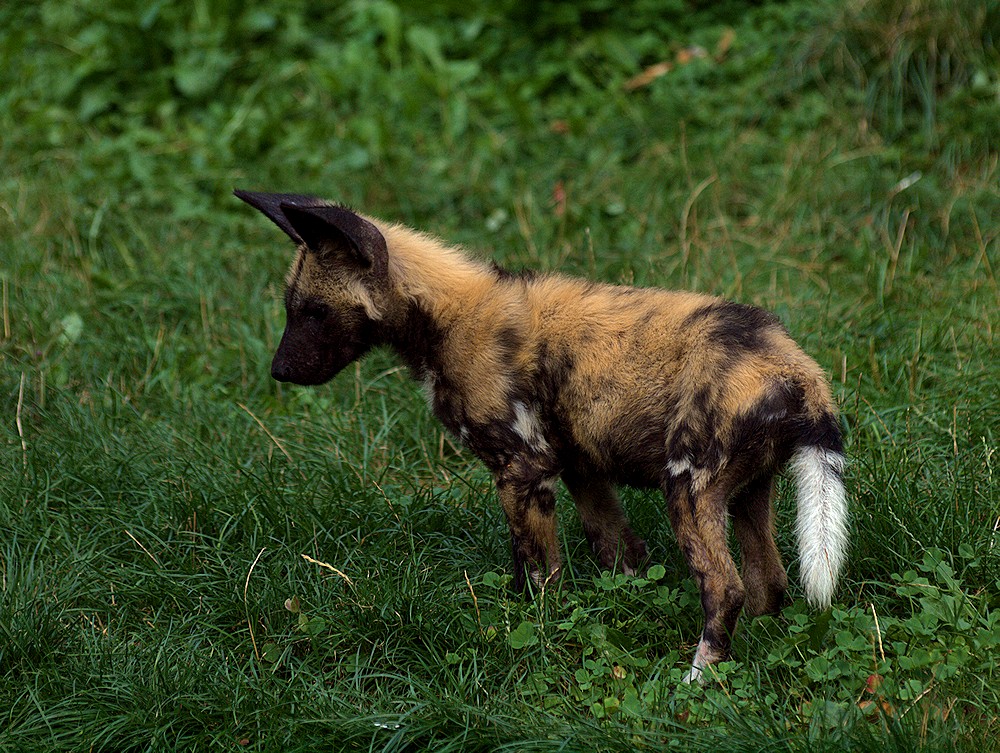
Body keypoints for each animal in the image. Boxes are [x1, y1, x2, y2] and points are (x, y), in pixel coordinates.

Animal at [236, 188, 852, 680]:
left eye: (314, 311)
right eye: (291, 308)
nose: (278, 372)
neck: (443, 318)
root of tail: (797, 369)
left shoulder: (522, 469)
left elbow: (537, 573)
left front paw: (535, 630)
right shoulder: (580, 468)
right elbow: (618, 551)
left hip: (688, 487)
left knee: (725, 588)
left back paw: (696, 677)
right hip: (747, 493)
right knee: (768, 582)